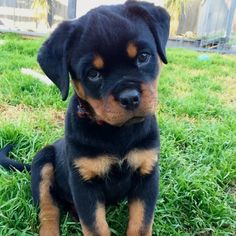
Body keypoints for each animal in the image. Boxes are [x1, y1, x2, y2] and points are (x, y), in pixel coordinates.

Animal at [0, 0, 170, 235]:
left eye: (143, 57)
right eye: (93, 74)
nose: (129, 98)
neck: (117, 133)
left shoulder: (147, 174)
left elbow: (141, 224)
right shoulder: (84, 184)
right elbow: (95, 227)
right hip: (42, 163)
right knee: (48, 210)